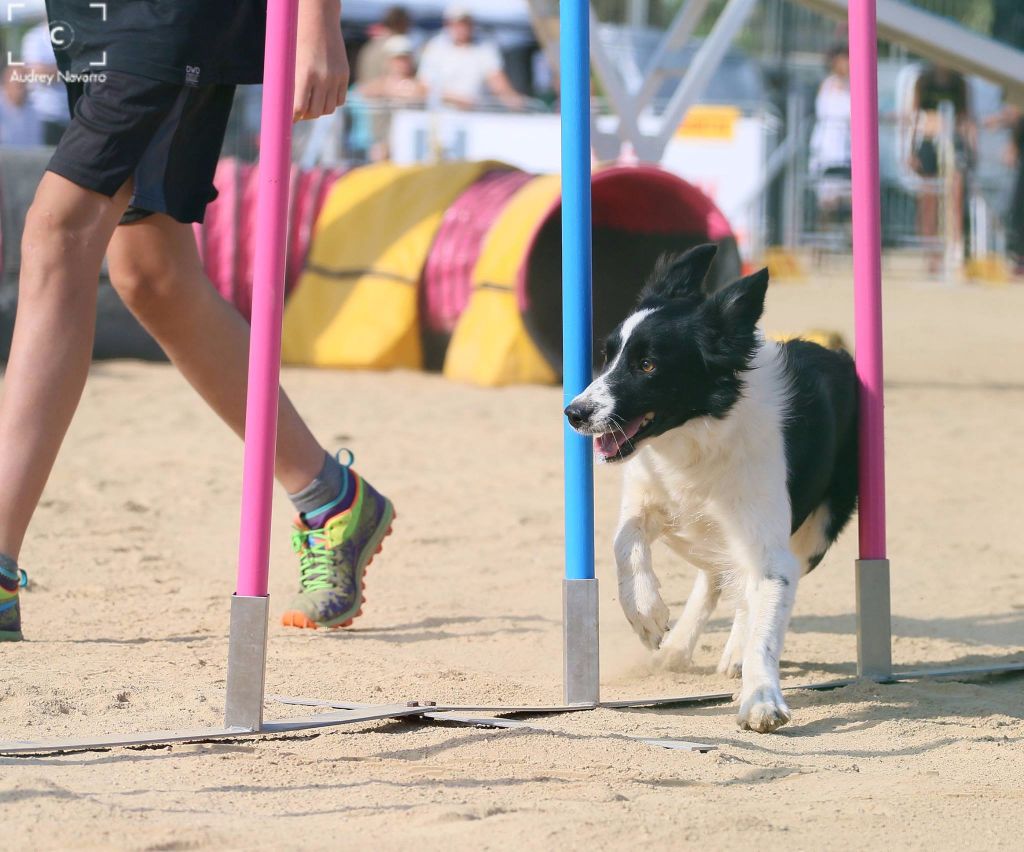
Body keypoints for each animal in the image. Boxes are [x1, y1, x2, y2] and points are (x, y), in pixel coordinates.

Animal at [565, 244, 860, 733]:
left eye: (647, 364)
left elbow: (766, 615)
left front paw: (761, 698)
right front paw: (646, 614)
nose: (574, 413)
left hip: (816, 531)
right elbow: (623, 541)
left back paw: (735, 655)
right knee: (715, 577)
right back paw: (678, 646)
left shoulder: (769, 547)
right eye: (608, 356)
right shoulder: (650, 498)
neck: (697, 434)